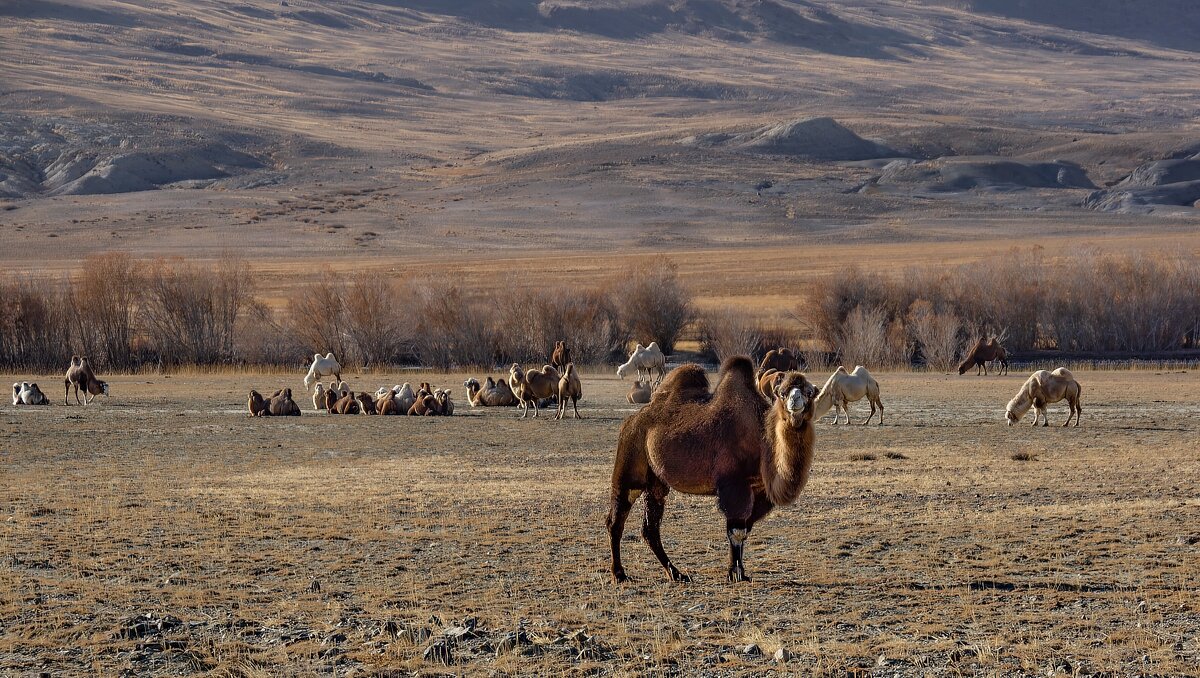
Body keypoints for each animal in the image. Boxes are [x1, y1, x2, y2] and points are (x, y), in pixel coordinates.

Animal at [604, 357, 820, 583]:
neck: (763, 440)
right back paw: (619, 574)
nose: (795, 402)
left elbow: (746, 530)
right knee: (616, 520)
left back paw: (676, 573)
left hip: (656, 482)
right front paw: (735, 574)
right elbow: (736, 530)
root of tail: (631, 421)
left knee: (650, 528)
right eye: (783, 392)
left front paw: (741, 572)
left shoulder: (760, 491)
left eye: (809, 392)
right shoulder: (734, 485)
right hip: (629, 464)